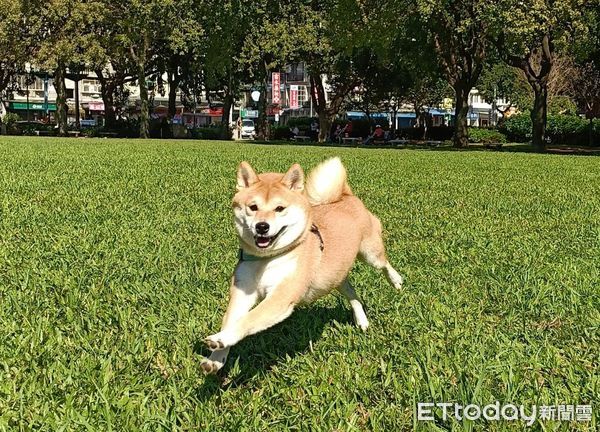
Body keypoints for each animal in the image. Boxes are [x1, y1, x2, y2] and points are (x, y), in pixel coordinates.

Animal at [202, 157, 404, 372]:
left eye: (279, 208)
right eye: (253, 207)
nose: (262, 226)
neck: (267, 258)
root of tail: (346, 195)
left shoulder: (282, 295)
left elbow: (249, 319)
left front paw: (221, 339)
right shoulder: (242, 292)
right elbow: (231, 320)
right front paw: (216, 358)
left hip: (370, 253)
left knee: (384, 264)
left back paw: (396, 281)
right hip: (334, 277)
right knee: (352, 293)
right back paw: (362, 320)